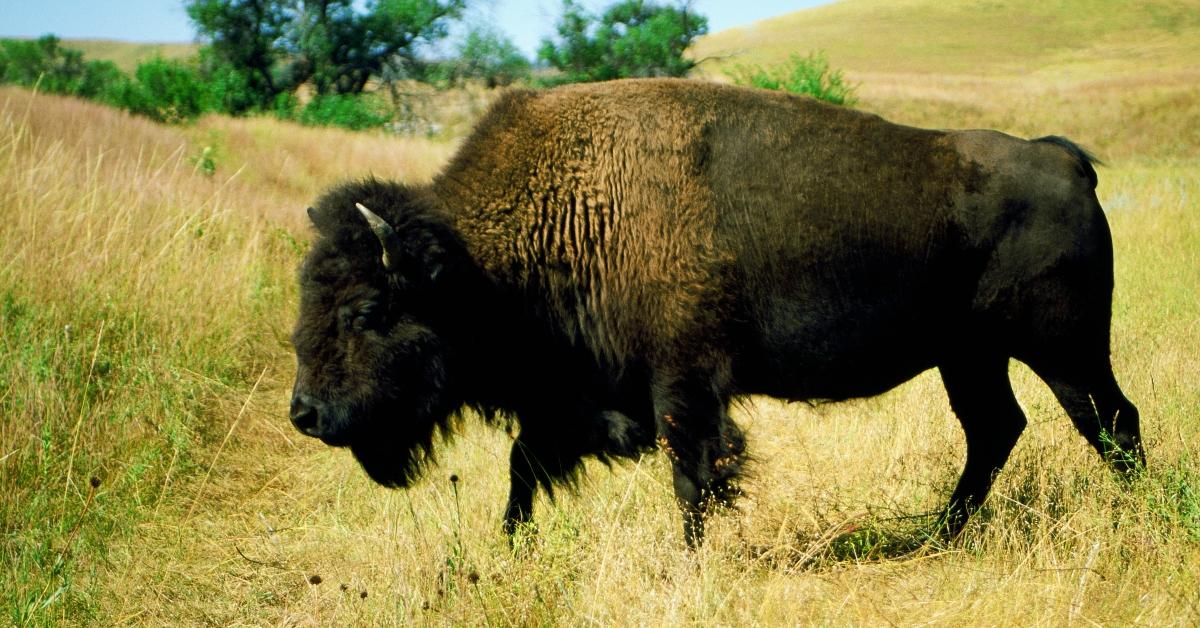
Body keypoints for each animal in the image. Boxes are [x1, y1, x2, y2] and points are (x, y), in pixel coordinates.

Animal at [290, 77, 1142, 545]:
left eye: (366, 310)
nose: (305, 413)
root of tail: (1062, 158)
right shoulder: (580, 400)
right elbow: (524, 468)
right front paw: (510, 548)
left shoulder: (684, 383)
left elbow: (693, 476)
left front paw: (691, 561)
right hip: (969, 357)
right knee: (996, 429)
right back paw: (936, 536)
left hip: (1063, 349)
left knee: (1109, 421)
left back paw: (1142, 518)